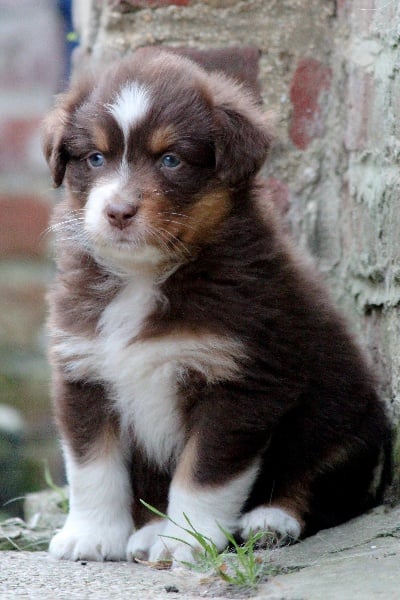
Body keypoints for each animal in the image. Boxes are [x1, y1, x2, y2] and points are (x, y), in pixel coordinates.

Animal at [43, 48, 390, 564]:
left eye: (171, 160)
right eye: (95, 158)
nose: (118, 211)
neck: (144, 277)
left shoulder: (238, 382)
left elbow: (204, 474)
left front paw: (188, 541)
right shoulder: (83, 371)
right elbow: (92, 467)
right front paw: (92, 535)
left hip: (345, 424)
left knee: (322, 484)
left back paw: (270, 520)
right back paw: (148, 532)